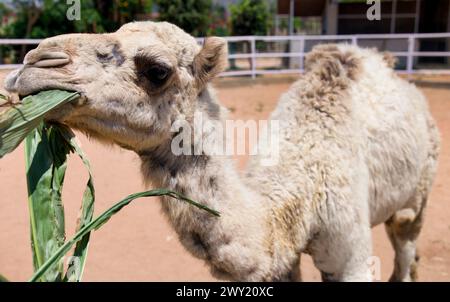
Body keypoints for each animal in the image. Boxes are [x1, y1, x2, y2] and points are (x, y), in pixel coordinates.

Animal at [3, 21, 440, 284]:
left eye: (156, 70)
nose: (35, 62)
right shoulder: (283, 262)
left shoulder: (350, 257)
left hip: (422, 186)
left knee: (405, 241)